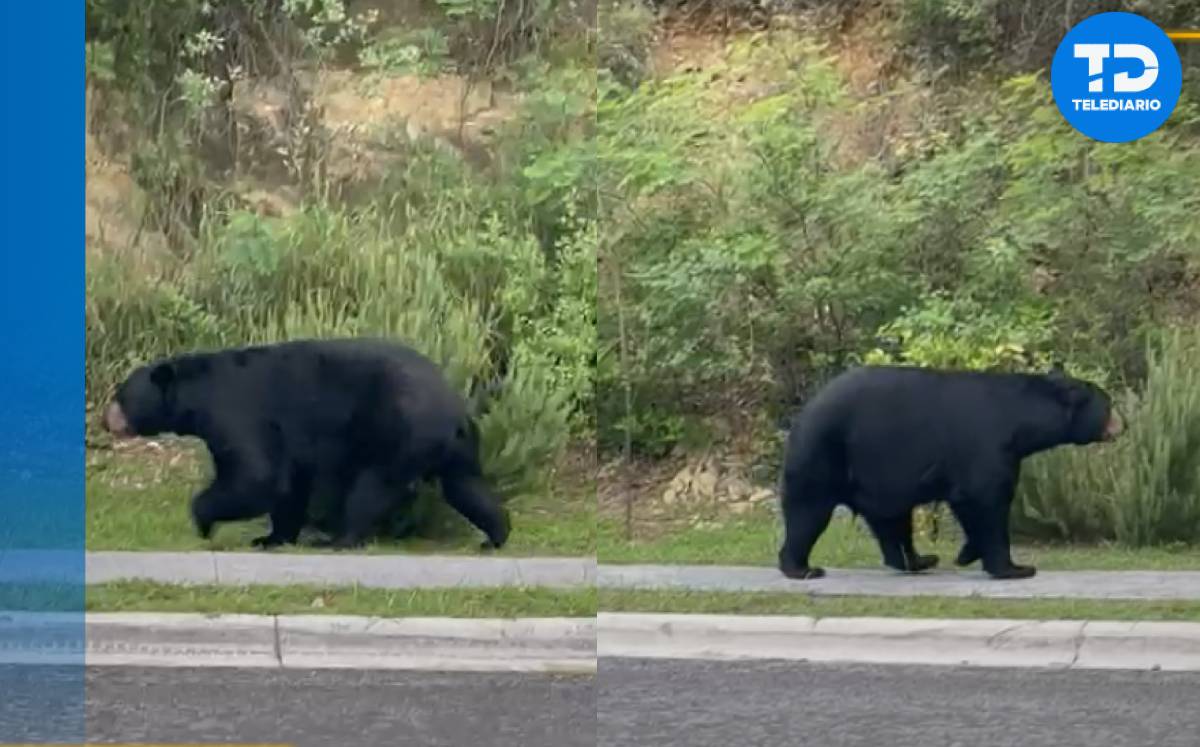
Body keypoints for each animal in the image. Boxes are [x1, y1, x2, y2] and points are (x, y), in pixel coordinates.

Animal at [100, 338, 511, 551]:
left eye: (121, 395)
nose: (106, 419)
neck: (197, 396)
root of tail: (454, 408)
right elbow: (287, 483)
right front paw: (271, 537)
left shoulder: (236, 416)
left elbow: (256, 475)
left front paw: (203, 519)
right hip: (454, 447)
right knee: (466, 486)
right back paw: (495, 535)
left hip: (398, 433)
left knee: (371, 488)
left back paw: (338, 538)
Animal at [777, 363, 1123, 581]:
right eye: (1108, 404)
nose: (1124, 424)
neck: (1021, 424)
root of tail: (803, 412)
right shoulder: (987, 447)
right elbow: (986, 501)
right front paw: (1016, 568)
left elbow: (972, 505)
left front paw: (967, 553)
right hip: (821, 456)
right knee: (807, 512)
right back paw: (802, 568)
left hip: (874, 477)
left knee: (892, 522)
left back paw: (918, 560)